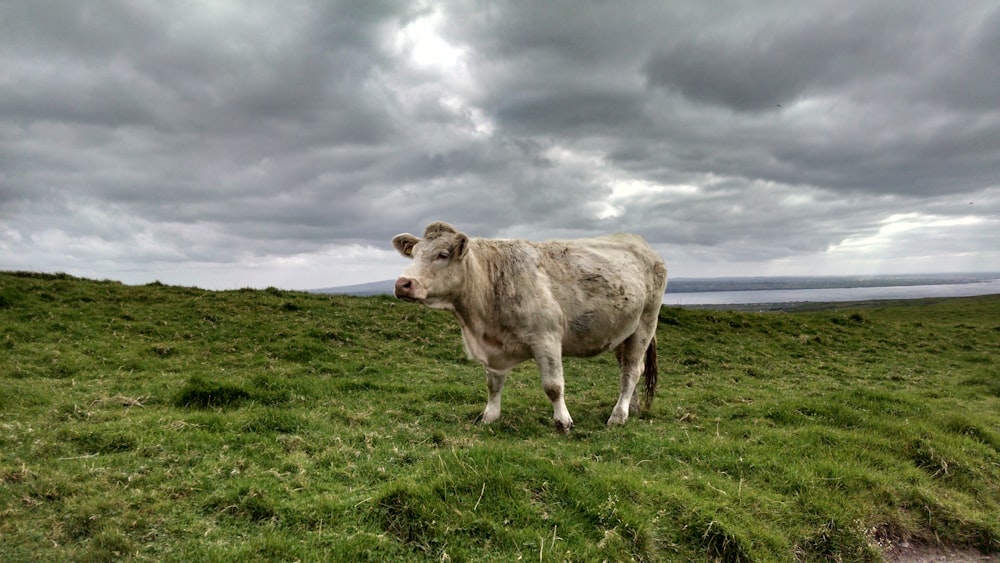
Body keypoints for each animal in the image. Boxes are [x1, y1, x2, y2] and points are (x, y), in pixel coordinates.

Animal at [388, 223, 664, 434]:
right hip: (623, 331)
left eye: (443, 254)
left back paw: (618, 415)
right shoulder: (494, 347)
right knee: (629, 369)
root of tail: (641, 244)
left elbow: (553, 386)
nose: (403, 283)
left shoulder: (547, 338)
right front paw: (490, 415)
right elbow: (493, 383)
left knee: (631, 370)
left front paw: (563, 421)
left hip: (645, 323)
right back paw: (631, 407)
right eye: (414, 254)